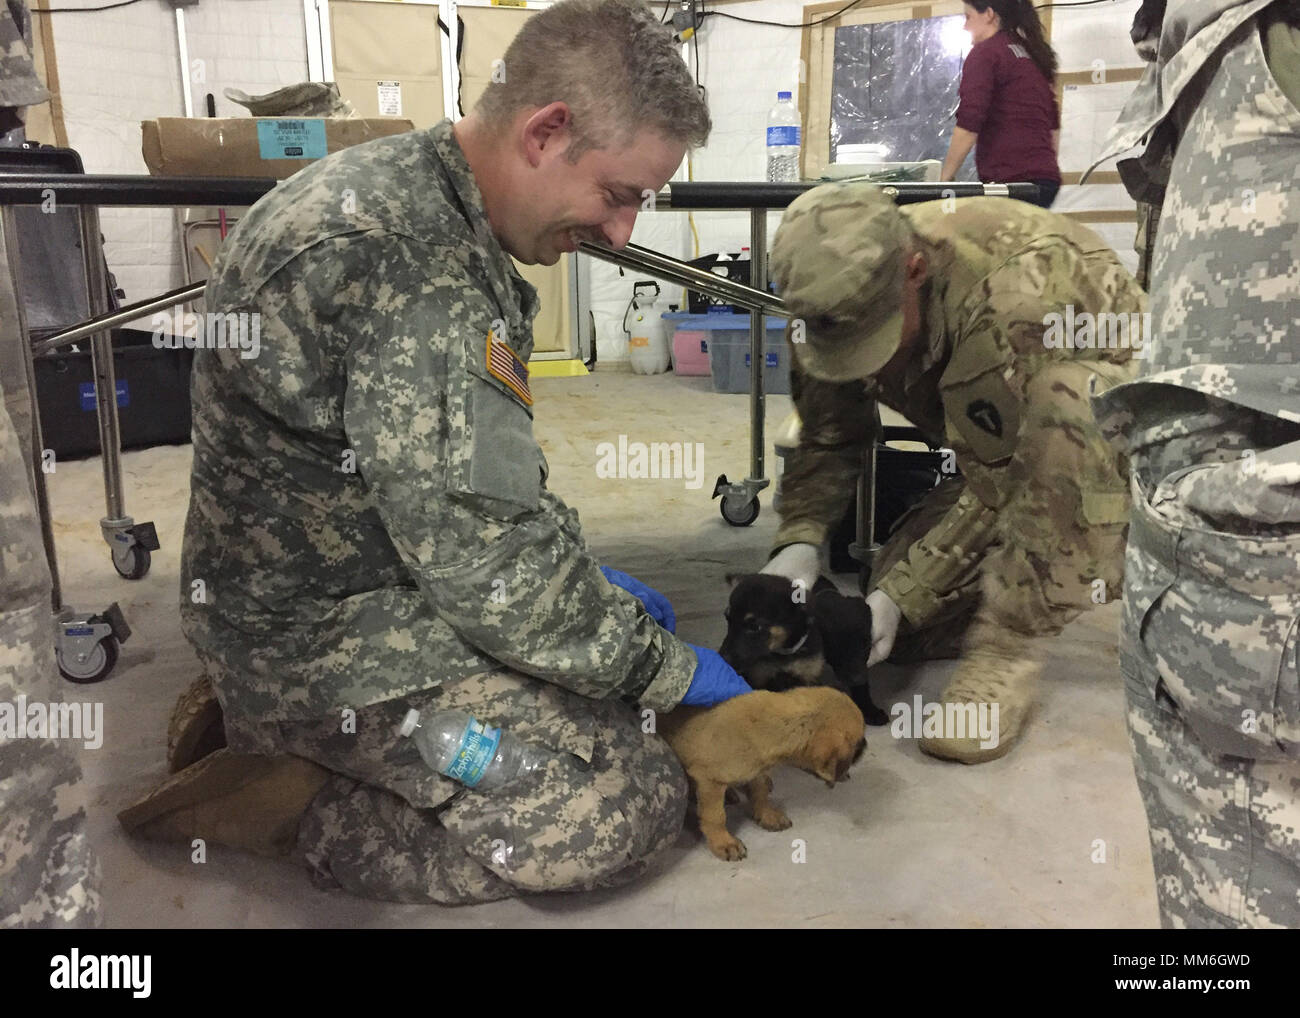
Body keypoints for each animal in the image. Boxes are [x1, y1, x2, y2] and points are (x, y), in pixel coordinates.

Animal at [660, 686, 863, 858]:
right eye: (857, 742)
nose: (865, 748)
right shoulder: (710, 780)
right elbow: (715, 816)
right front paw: (724, 842)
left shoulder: (758, 771)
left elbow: (760, 792)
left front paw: (767, 815)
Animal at [717, 572, 889, 722]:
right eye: (728, 620)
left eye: (755, 627)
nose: (723, 657)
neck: (784, 654)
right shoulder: (760, 678)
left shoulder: (808, 676)